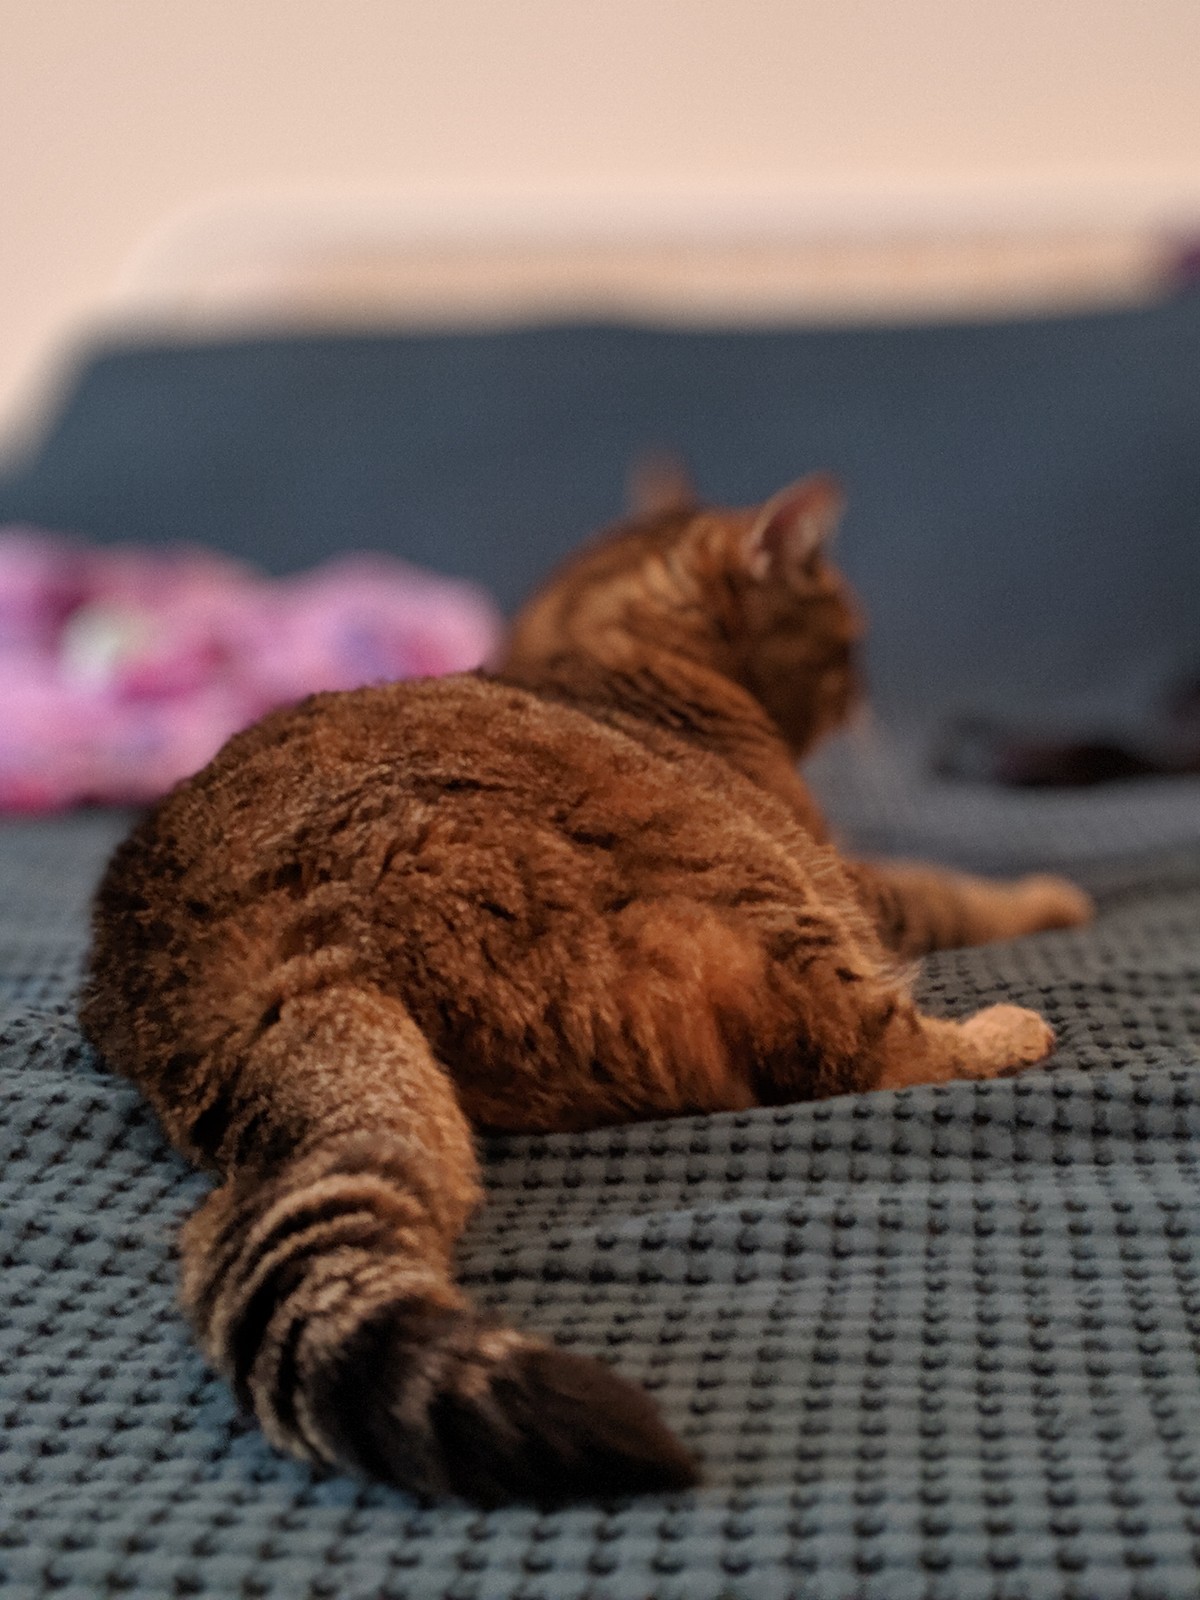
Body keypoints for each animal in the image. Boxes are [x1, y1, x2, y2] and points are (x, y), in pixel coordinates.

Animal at [80, 473, 1094, 1497]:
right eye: (845, 639)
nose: (861, 692)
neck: (602, 645)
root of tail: (259, 955)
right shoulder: (853, 877)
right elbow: (950, 890)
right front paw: (1057, 895)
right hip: (760, 890)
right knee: (862, 1053)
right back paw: (1010, 1028)